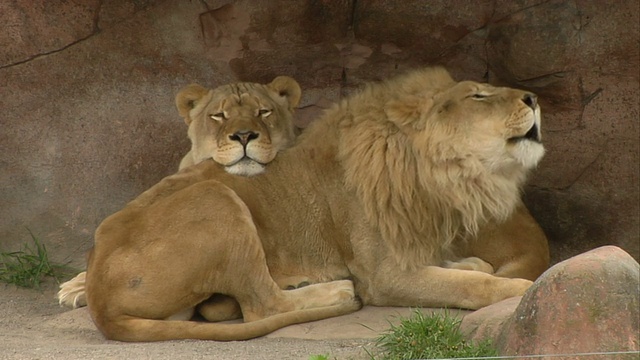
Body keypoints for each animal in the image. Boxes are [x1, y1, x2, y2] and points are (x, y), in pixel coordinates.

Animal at [84, 67, 544, 340]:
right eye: (479, 96)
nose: (534, 99)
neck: (433, 175)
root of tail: (99, 299)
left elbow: (466, 267)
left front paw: (470, 262)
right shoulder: (384, 275)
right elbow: (472, 284)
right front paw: (519, 289)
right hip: (216, 198)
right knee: (261, 306)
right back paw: (336, 292)